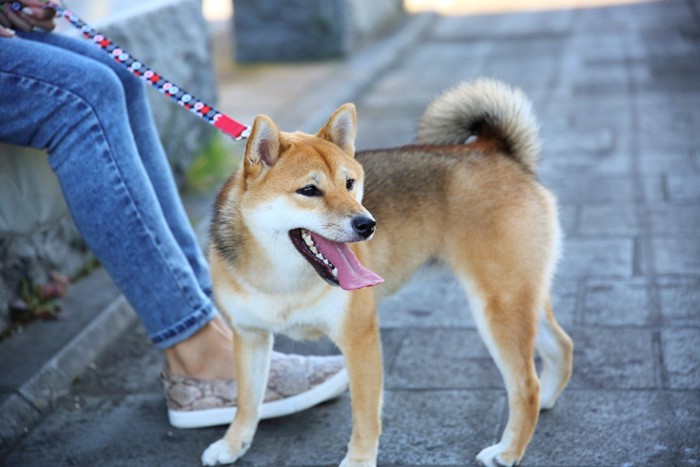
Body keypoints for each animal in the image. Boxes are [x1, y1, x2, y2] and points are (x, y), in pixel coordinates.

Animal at [202, 78, 576, 466]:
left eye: (349, 183)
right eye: (309, 190)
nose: (367, 224)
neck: (282, 280)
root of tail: (496, 150)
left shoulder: (359, 336)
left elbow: (365, 415)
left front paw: (358, 461)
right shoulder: (249, 335)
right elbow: (247, 402)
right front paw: (232, 444)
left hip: (498, 303)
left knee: (526, 384)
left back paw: (508, 450)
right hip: (519, 294)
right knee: (561, 346)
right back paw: (546, 401)